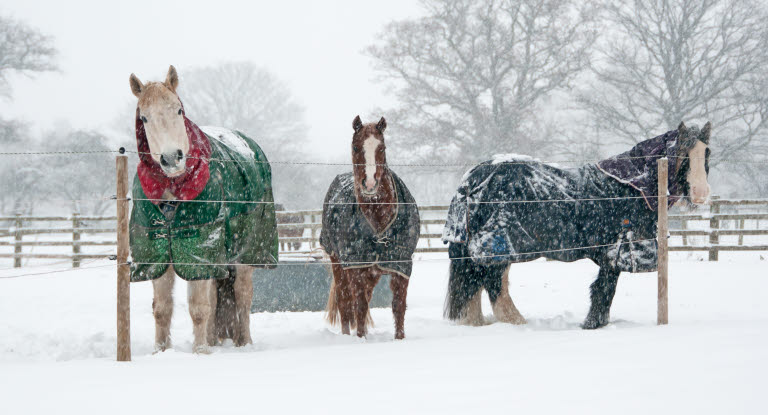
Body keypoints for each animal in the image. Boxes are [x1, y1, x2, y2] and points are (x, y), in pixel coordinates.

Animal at [127, 66, 280, 352]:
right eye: (144, 118)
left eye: (179, 110)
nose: (171, 158)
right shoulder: (158, 253)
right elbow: (162, 309)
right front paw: (161, 351)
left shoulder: (199, 250)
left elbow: (198, 308)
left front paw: (199, 353)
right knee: (216, 297)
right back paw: (212, 339)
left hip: (247, 252)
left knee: (243, 297)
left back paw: (244, 343)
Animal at [322, 115, 424, 340]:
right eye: (356, 146)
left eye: (382, 147)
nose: (369, 184)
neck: (378, 217)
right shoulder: (356, 266)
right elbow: (358, 306)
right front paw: (361, 338)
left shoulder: (401, 265)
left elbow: (398, 306)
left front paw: (400, 339)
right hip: (339, 264)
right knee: (345, 304)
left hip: (372, 273)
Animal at [444, 122, 712, 330]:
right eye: (683, 154)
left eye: (707, 154)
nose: (701, 194)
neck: (629, 186)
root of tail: (472, 179)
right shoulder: (614, 253)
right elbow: (604, 291)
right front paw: (593, 325)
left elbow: (603, 292)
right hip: (498, 249)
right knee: (494, 289)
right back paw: (518, 324)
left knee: (475, 288)